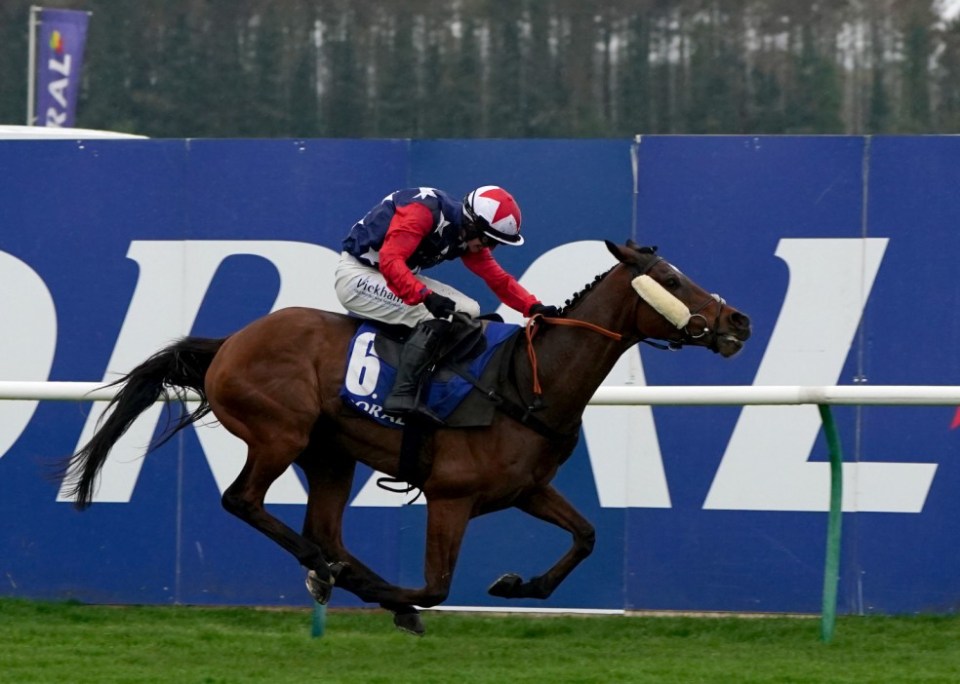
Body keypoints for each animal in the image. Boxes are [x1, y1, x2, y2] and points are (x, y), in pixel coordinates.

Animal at [60, 240, 752, 636]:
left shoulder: (526, 488)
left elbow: (585, 536)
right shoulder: (451, 495)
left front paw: (518, 586)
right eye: (672, 279)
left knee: (324, 528)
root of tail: (230, 343)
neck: (529, 381)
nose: (738, 320)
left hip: (330, 453)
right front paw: (401, 597)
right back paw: (334, 575)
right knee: (246, 502)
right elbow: (437, 586)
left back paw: (338, 572)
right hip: (281, 432)